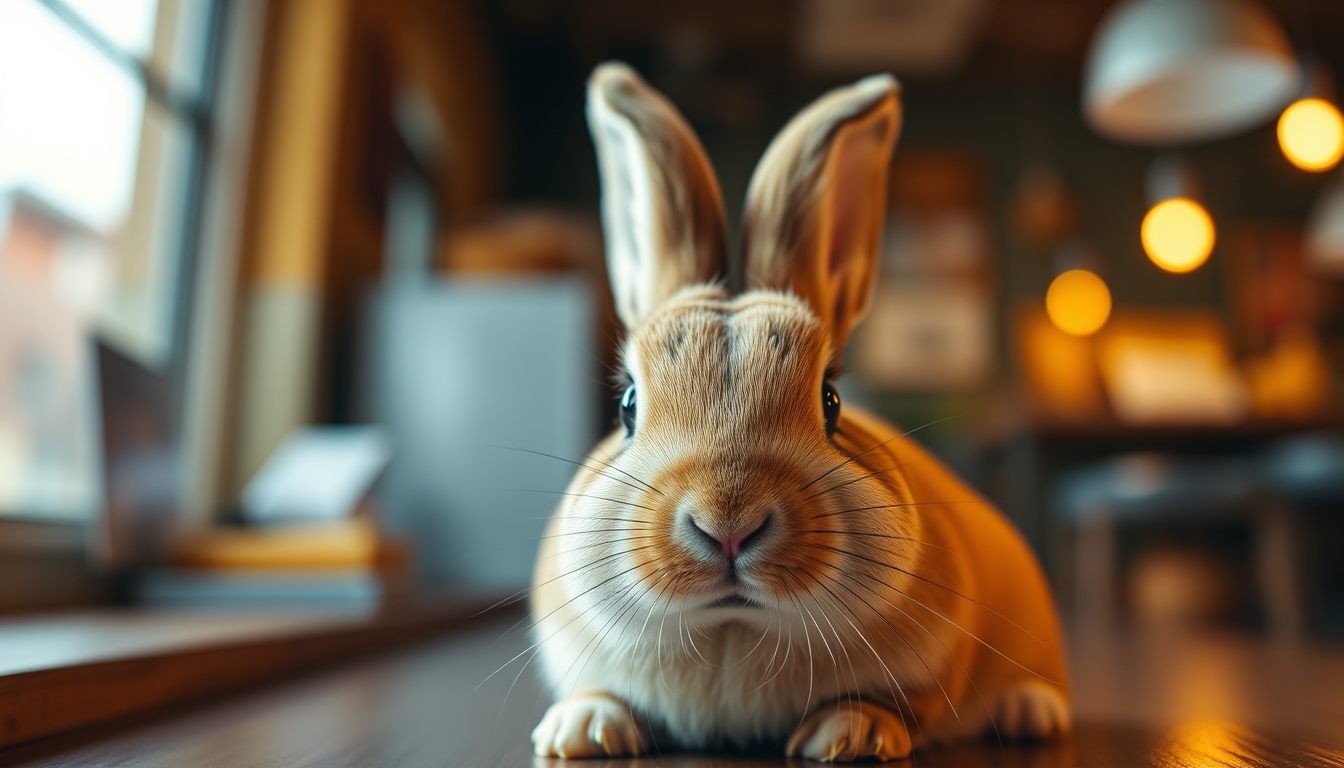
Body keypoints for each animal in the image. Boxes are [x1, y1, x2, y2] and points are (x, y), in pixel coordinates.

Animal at [529, 62, 1070, 762]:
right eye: (627, 405)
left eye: (831, 400)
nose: (727, 526)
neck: (732, 630)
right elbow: (597, 691)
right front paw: (582, 729)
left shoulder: (935, 666)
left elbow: (901, 703)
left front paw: (850, 734)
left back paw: (1032, 710)